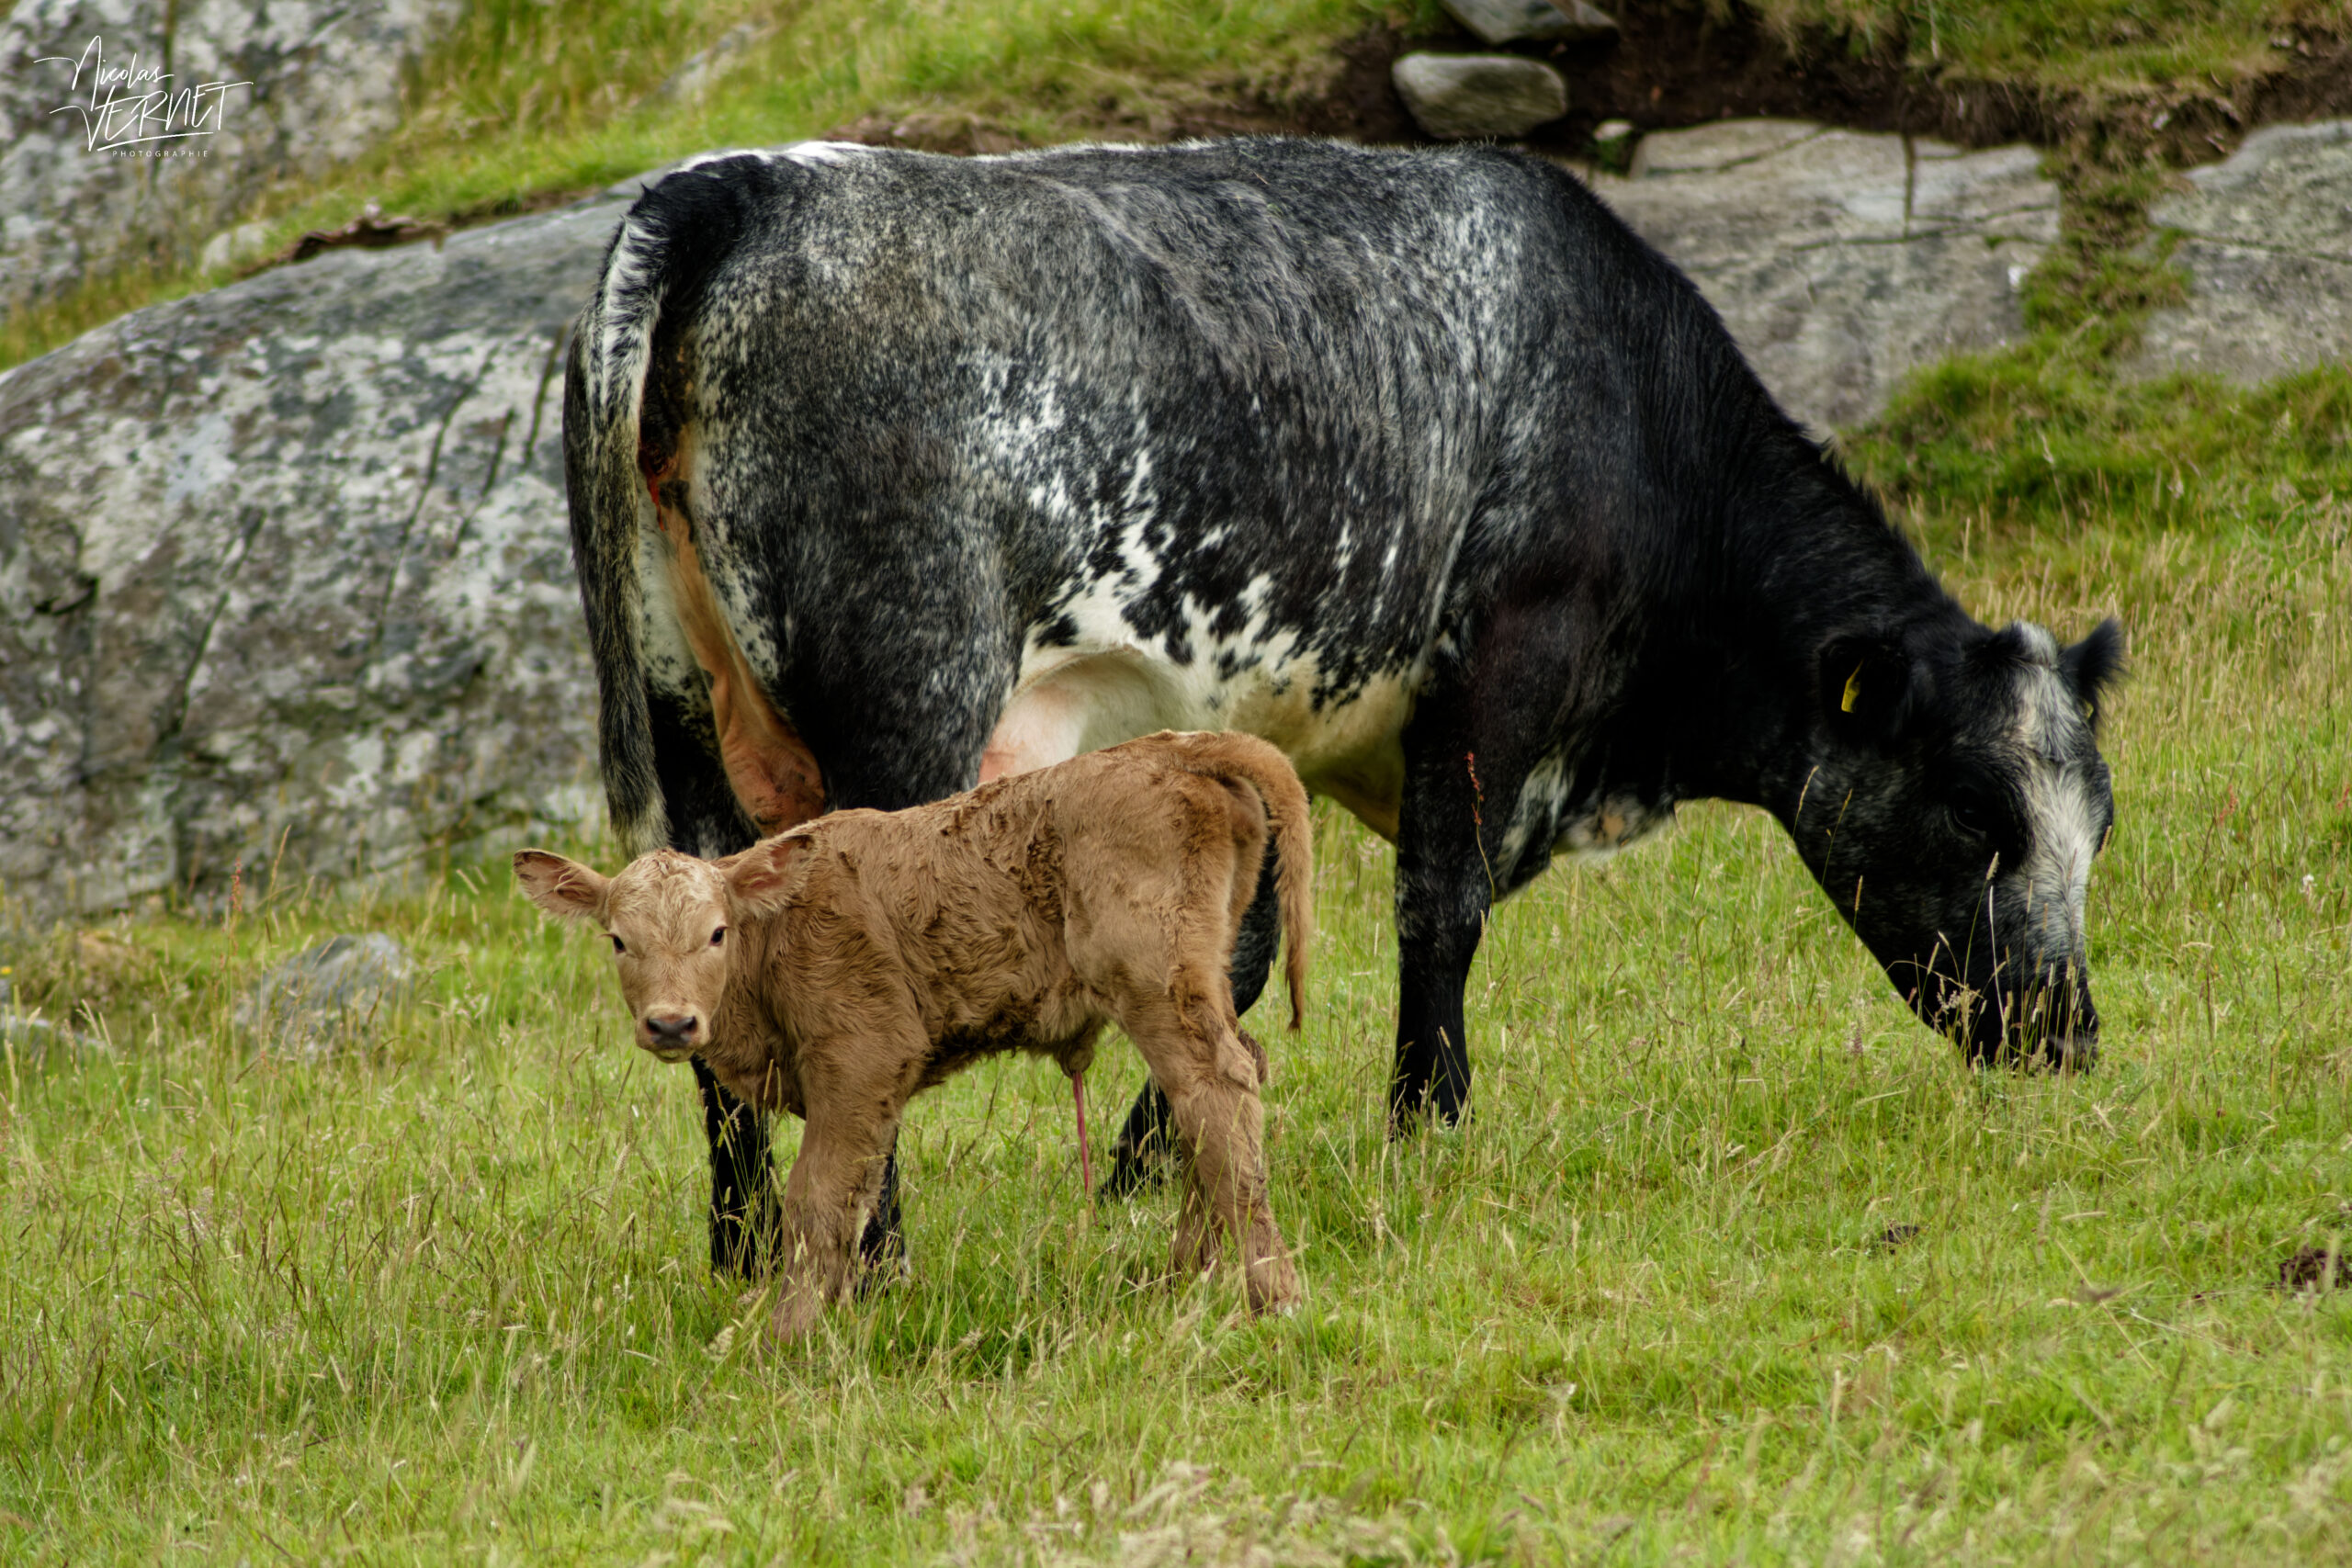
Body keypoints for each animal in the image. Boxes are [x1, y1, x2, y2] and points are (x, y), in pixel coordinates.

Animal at [513, 730, 1312, 1336]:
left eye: (716, 932)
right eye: (619, 939)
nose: (672, 1022)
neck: (774, 937)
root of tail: (1175, 746)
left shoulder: (862, 1059)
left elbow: (817, 1196)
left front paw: (786, 1333)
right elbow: (856, 1197)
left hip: (1155, 983)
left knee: (1217, 1093)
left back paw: (1270, 1290)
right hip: (1196, 983)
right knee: (1223, 1090)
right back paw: (1186, 1272)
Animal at [561, 135, 2123, 1276]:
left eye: (2097, 821)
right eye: (1973, 812)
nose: (2068, 1034)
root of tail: (733, 189)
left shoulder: (1267, 728)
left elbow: (1237, 957)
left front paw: (1159, 1165)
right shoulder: (1496, 670)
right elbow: (1444, 906)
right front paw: (1425, 1124)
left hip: (686, 715)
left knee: (706, 936)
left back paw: (744, 1243)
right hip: (911, 700)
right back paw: (868, 1245)